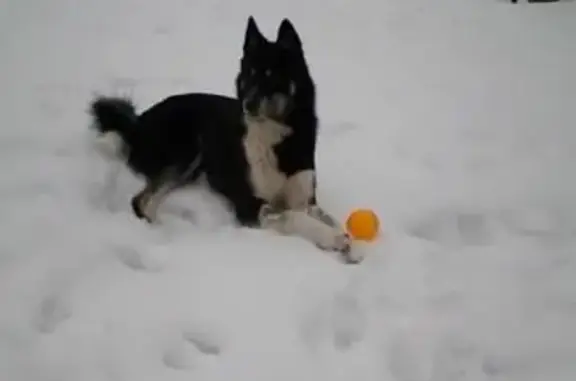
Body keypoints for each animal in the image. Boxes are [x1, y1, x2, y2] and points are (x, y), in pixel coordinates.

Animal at [90, 16, 360, 262]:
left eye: (272, 76)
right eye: (249, 75)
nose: (248, 104)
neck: (275, 135)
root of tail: (138, 122)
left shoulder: (305, 199)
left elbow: (330, 218)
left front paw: (353, 245)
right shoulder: (251, 207)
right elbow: (294, 217)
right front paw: (333, 238)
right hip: (187, 150)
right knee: (140, 201)